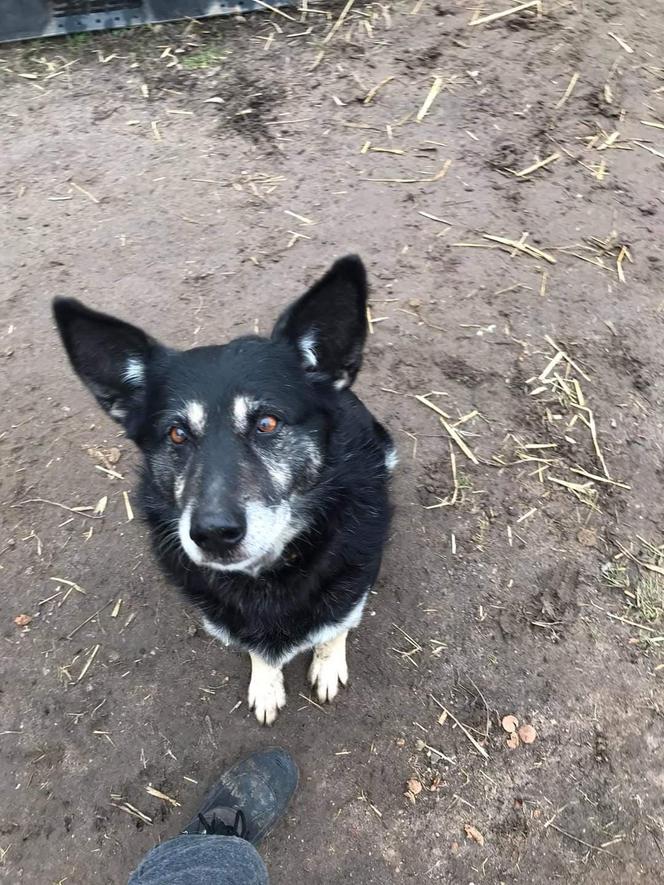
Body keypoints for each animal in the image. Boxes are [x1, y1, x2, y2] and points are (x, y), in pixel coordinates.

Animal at [54, 258, 394, 724]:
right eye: (177, 434)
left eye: (267, 423)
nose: (214, 534)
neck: (271, 573)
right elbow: (258, 652)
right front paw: (266, 685)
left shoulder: (354, 580)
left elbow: (335, 627)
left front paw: (327, 664)